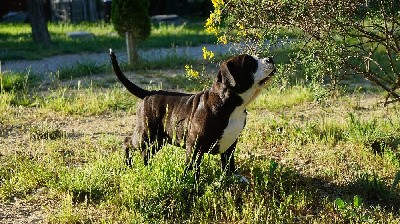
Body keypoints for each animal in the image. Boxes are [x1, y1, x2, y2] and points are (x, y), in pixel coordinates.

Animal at [109, 49, 276, 180]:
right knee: (128, 142)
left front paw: (233, 179)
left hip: (157, 140)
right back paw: (129, 165)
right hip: (146, 135)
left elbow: (228, 163)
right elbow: (192, 167)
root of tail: (148, 94)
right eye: (250, 64)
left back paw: (146, 168)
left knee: (145, 154)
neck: (232, 105)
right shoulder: (195, 146)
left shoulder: (230, 143)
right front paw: (191, 184)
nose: (270, 58)